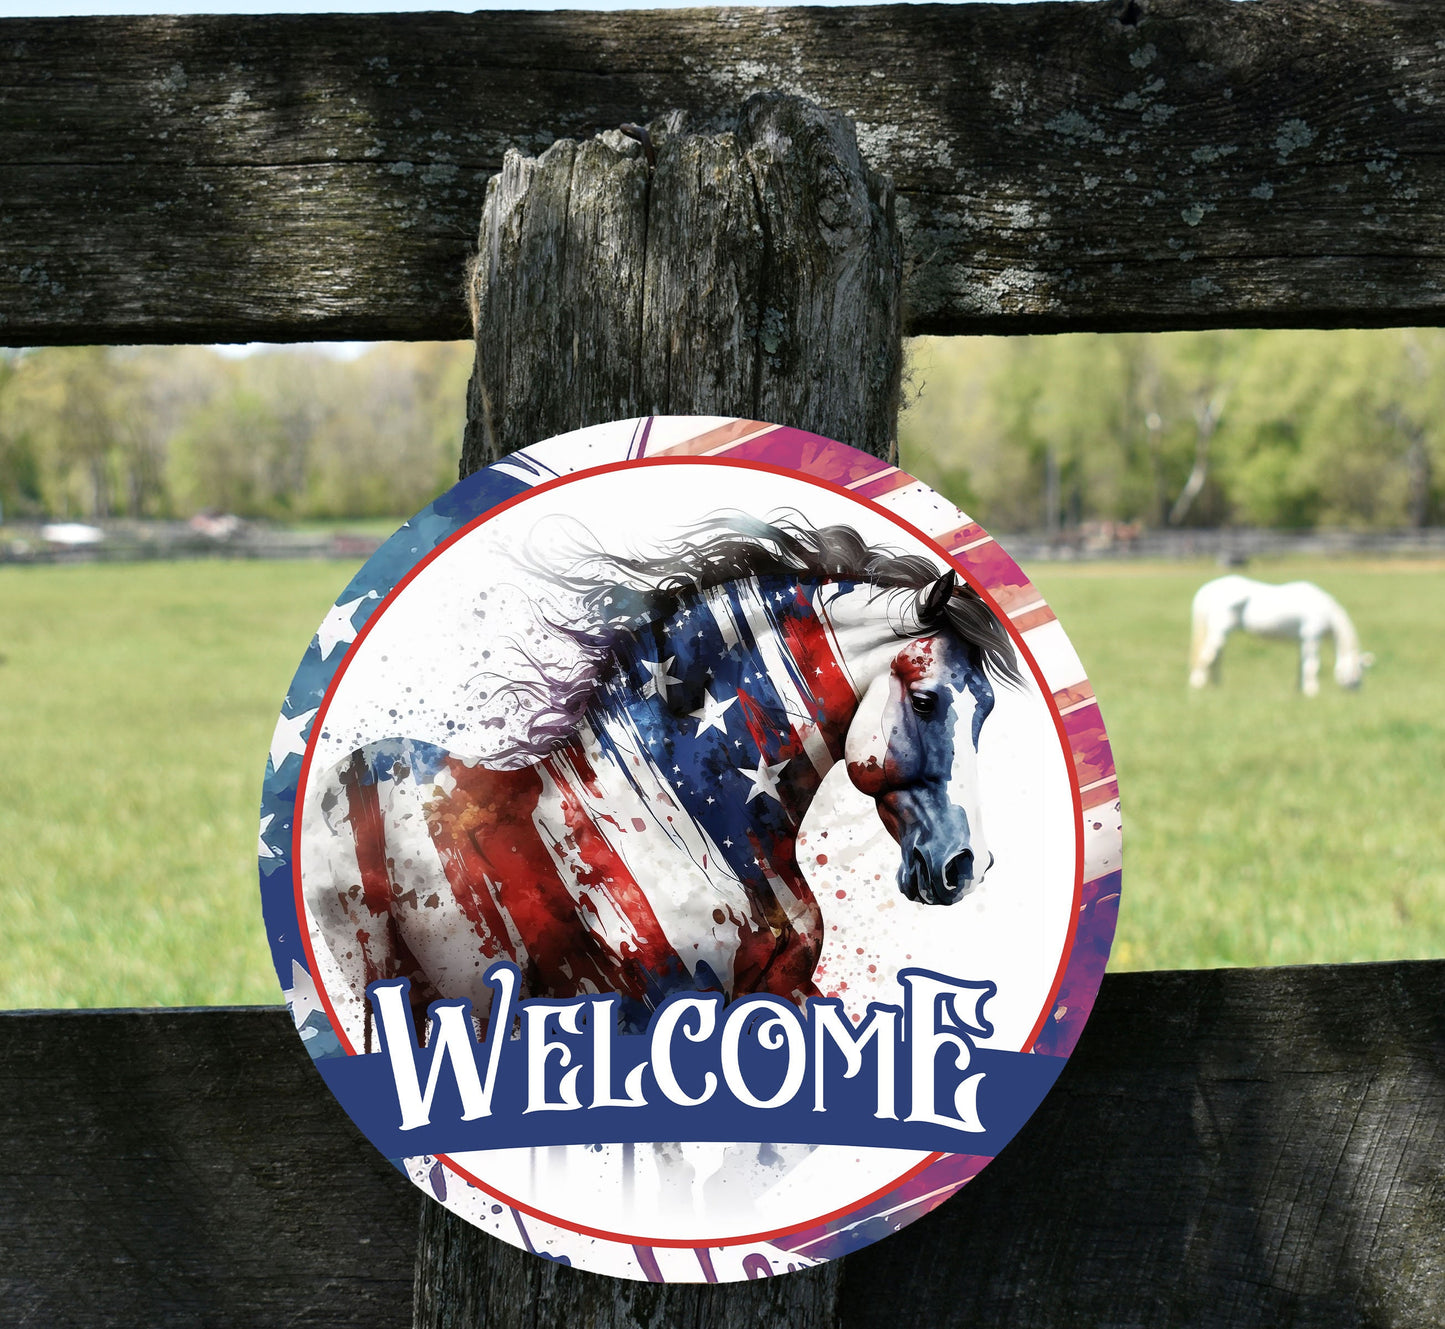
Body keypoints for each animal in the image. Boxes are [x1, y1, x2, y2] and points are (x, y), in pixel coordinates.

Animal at [1190, 574, 1369, 696]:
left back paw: (1216, 685)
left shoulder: (1302, 641)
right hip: (1220, 630)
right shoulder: (1311, 638)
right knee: (1207, 656)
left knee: (1215, 657)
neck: (1328, 611)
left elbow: (1301, 665)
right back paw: (1197, 684)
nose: (1356, 692)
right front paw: (1312, 691)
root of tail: (1207, 589)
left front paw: (1299, 690)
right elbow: (1312, 666)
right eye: (1358, 672)